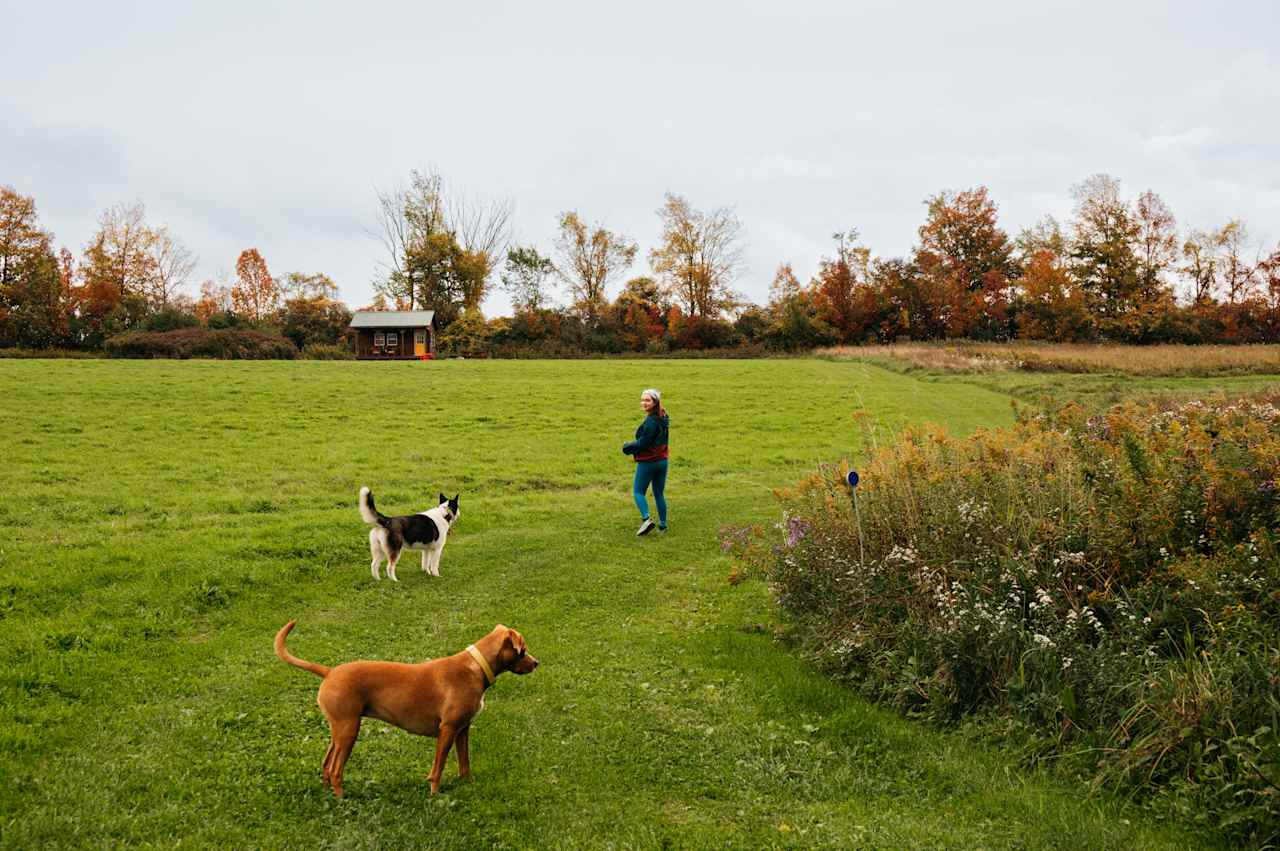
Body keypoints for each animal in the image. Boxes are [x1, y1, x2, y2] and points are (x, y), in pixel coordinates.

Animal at [277, 621, 537, 793]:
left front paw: (468, 785)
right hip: (349, 731)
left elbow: (464, 763)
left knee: (326, 764)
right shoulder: (447, 730)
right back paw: (342, 798)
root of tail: (329, 672)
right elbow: (438, 767)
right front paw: (435, 794)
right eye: (522, 650)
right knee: (335, 770)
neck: (476, 668)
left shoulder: (463, 730)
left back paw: (328, 793)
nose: (537, 663)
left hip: (339, 732)